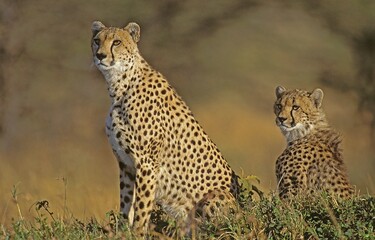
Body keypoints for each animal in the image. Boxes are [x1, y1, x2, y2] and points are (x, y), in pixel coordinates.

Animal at [90, 21, 239, 235]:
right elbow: (126, 204)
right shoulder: (125, 163)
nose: (100, 55)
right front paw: (123, 231)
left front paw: (137, 234)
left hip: (216, 197)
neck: (120, 85)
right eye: (97, 40)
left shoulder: (146, 163)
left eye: (116, 42)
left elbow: (142, 207)